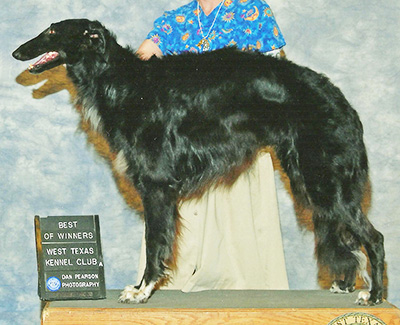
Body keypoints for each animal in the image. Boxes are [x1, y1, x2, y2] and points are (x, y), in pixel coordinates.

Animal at [11, 18, 384, 304]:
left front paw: (142, 291)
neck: (120, 81)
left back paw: (375, 295)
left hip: (324, 180)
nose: (16, 52)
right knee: (348, 238)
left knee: (374, 238)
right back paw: (345, 285)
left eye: (53, 31)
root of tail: (340, 100)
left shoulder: (157, 185)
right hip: (316, 183)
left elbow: (154, 242)